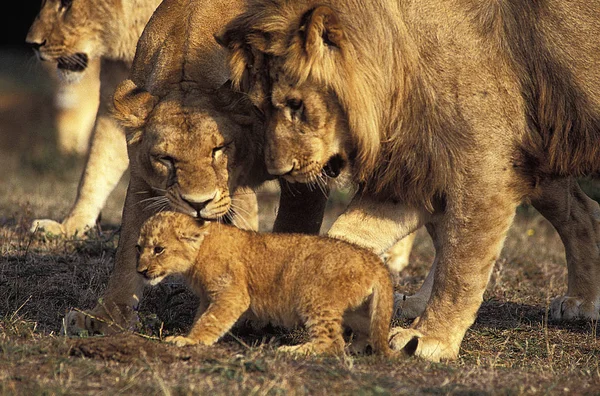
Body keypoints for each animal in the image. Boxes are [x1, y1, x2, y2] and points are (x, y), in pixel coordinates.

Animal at [138, 212, 396, 358]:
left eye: (158, 249)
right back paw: (356, 349)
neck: (200, 249)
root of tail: (373, 260)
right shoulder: (208, 297)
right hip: (358, 310)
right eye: (138, 248)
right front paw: (190, 335)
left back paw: (294, 351)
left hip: (313, 298)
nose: (140, 271)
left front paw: (189, 341)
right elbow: (202, 316)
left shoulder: (232, 294)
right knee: (367, 332)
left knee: (333, 343)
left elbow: (209, 320)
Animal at [219, 0, 600, 362]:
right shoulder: (421, 168)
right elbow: (348, 233)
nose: (278, 170)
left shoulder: (486, 166)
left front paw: (430, 338)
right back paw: (582, 302)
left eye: (296, 104)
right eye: (261, 107)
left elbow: (461, 267)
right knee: (583, 210)